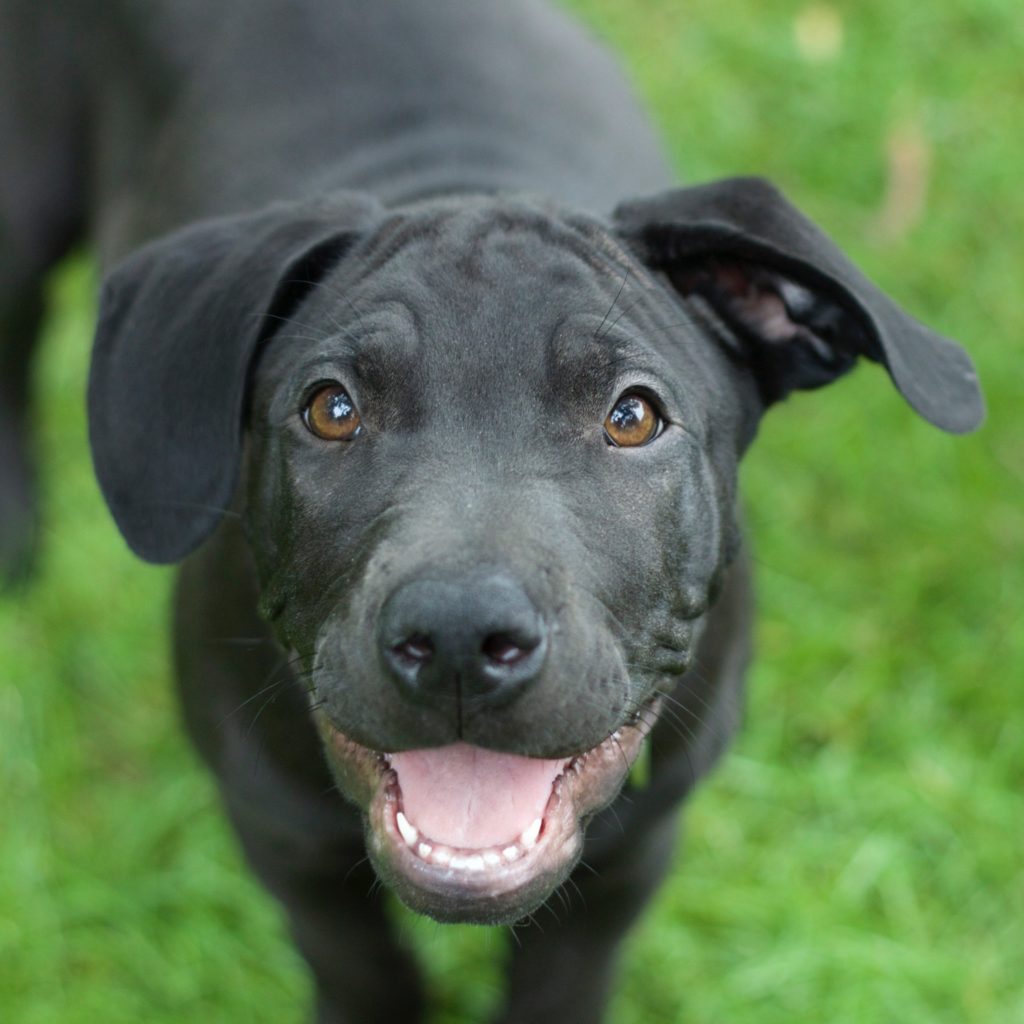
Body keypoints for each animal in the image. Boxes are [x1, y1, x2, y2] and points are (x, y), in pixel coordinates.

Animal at [4, 2, 987, 1024]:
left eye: (633, 416)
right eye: (332, 408)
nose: (458, 637)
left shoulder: (632, 857)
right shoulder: (284, 841)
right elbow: (365, 974)